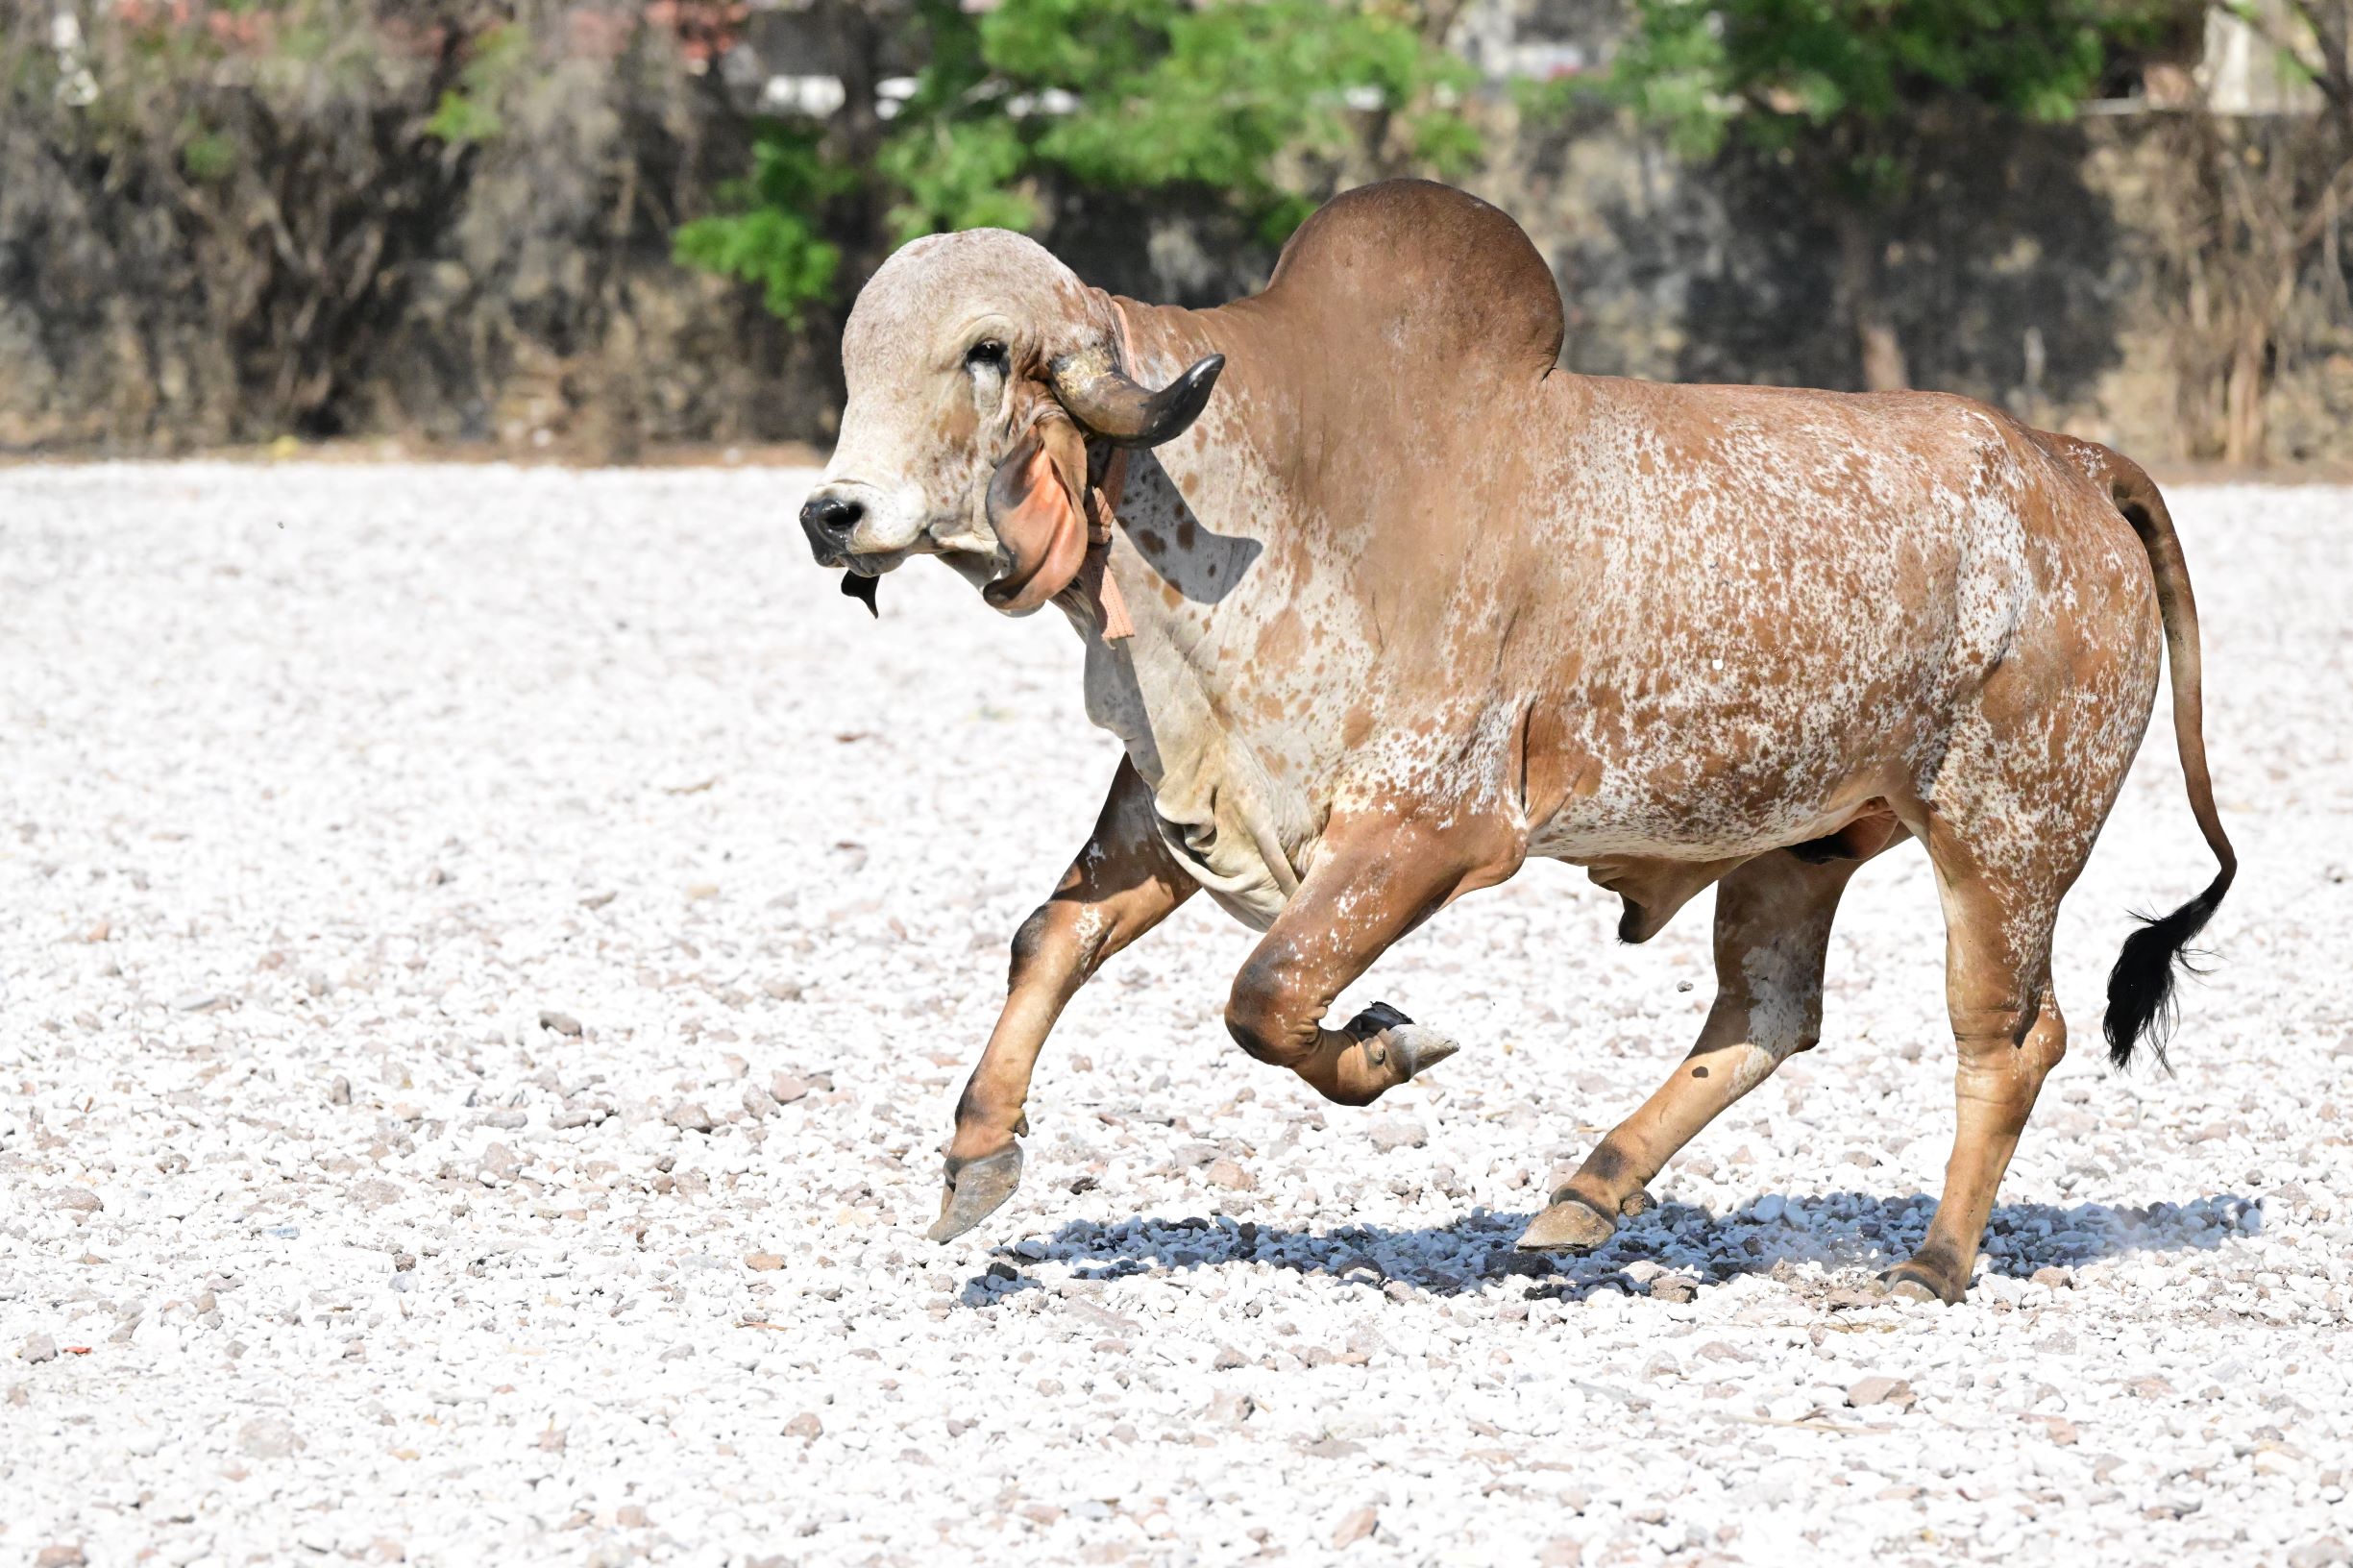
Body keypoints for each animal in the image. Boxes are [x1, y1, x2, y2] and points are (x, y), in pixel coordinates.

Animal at [798, 179, 2233, 1304]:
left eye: (985, 350)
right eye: (862, 357)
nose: (833, 512)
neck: (1269, 486)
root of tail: (2066, 457)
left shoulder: (1431, 828)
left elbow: (1268, 994)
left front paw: (1385, 1046)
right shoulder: (1181, 804)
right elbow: (1050, 939)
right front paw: (976, 1154)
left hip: (2006, 836)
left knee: (2008, 1038)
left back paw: (1929, 1261)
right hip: (1801, 842)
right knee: (1767, 1017)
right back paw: (1583, 1198)